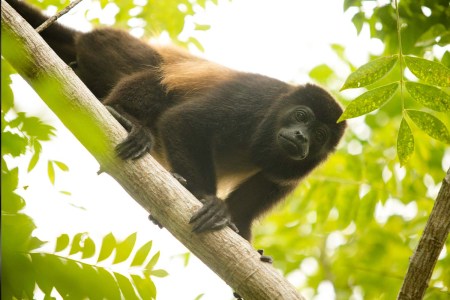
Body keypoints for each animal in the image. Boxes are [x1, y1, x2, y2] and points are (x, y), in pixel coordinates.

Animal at [5, 0, 346, 244]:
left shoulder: (295, 170)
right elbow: (184, 121)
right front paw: (206, 200)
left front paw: (240, 229)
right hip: (109, 46)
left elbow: (263, 189)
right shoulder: (253, 100)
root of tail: (83, 37)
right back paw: (123, 115)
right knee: (156, 73)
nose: (301, 137)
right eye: (301, 116)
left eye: (319, 135)